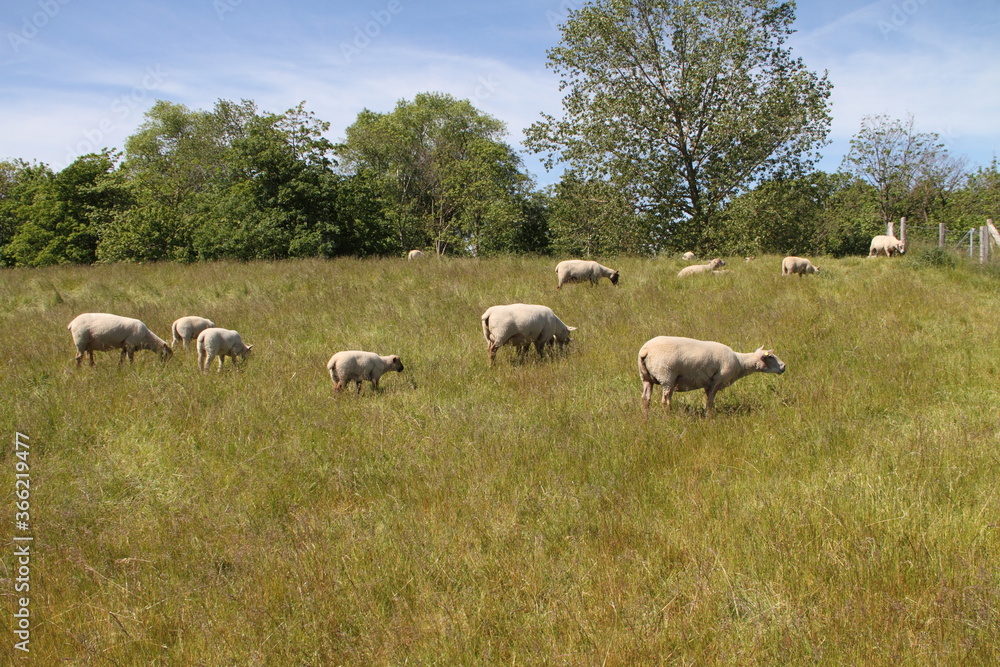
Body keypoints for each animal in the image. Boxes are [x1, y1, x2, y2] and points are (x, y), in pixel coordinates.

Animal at [636, 336, 784, 414]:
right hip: (667, 375)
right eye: (770, 356)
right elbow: (710, 402)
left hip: (646, 377)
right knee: (665, 401)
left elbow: (708, 400)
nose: (784, 366)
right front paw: (710, 417)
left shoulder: (708, 384)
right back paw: (668, 417)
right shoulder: (717, 381)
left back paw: (645, 418)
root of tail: (645, 350)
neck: (740, 363)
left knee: (645, 398)